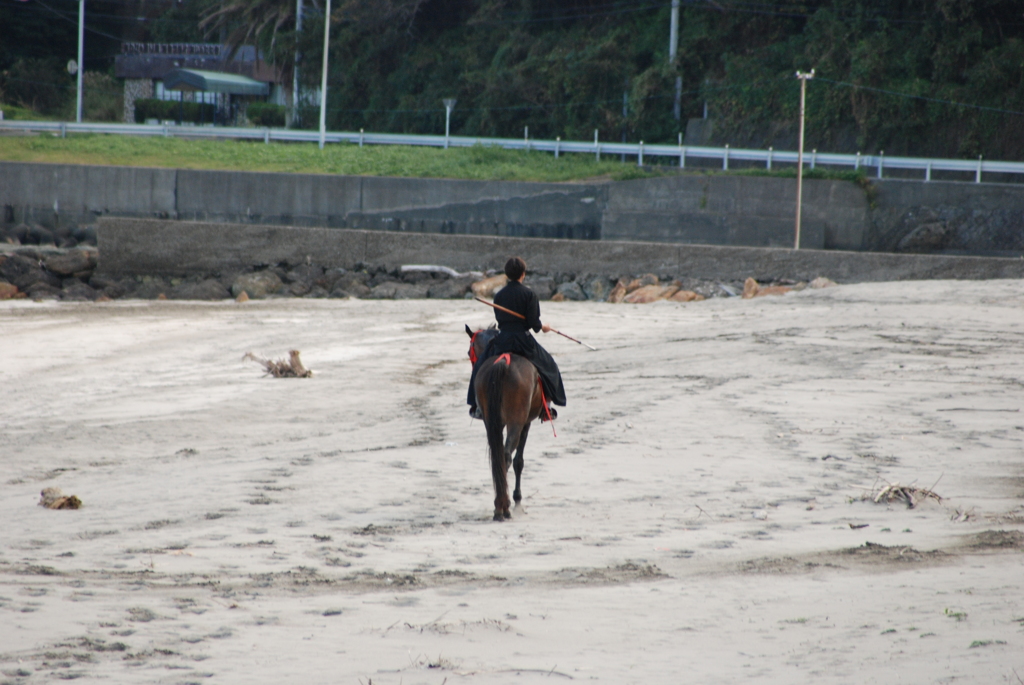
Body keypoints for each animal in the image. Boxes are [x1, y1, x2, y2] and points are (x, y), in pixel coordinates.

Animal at [464, 325, 544, 518]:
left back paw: (498, 506)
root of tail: (503, 362)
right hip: (517, 421)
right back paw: (505, 507)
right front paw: (517, 500)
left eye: (469, 352)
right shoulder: (525, 423)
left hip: (492, 422)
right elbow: (519, 461)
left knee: (498, 457)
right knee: (507, 456)